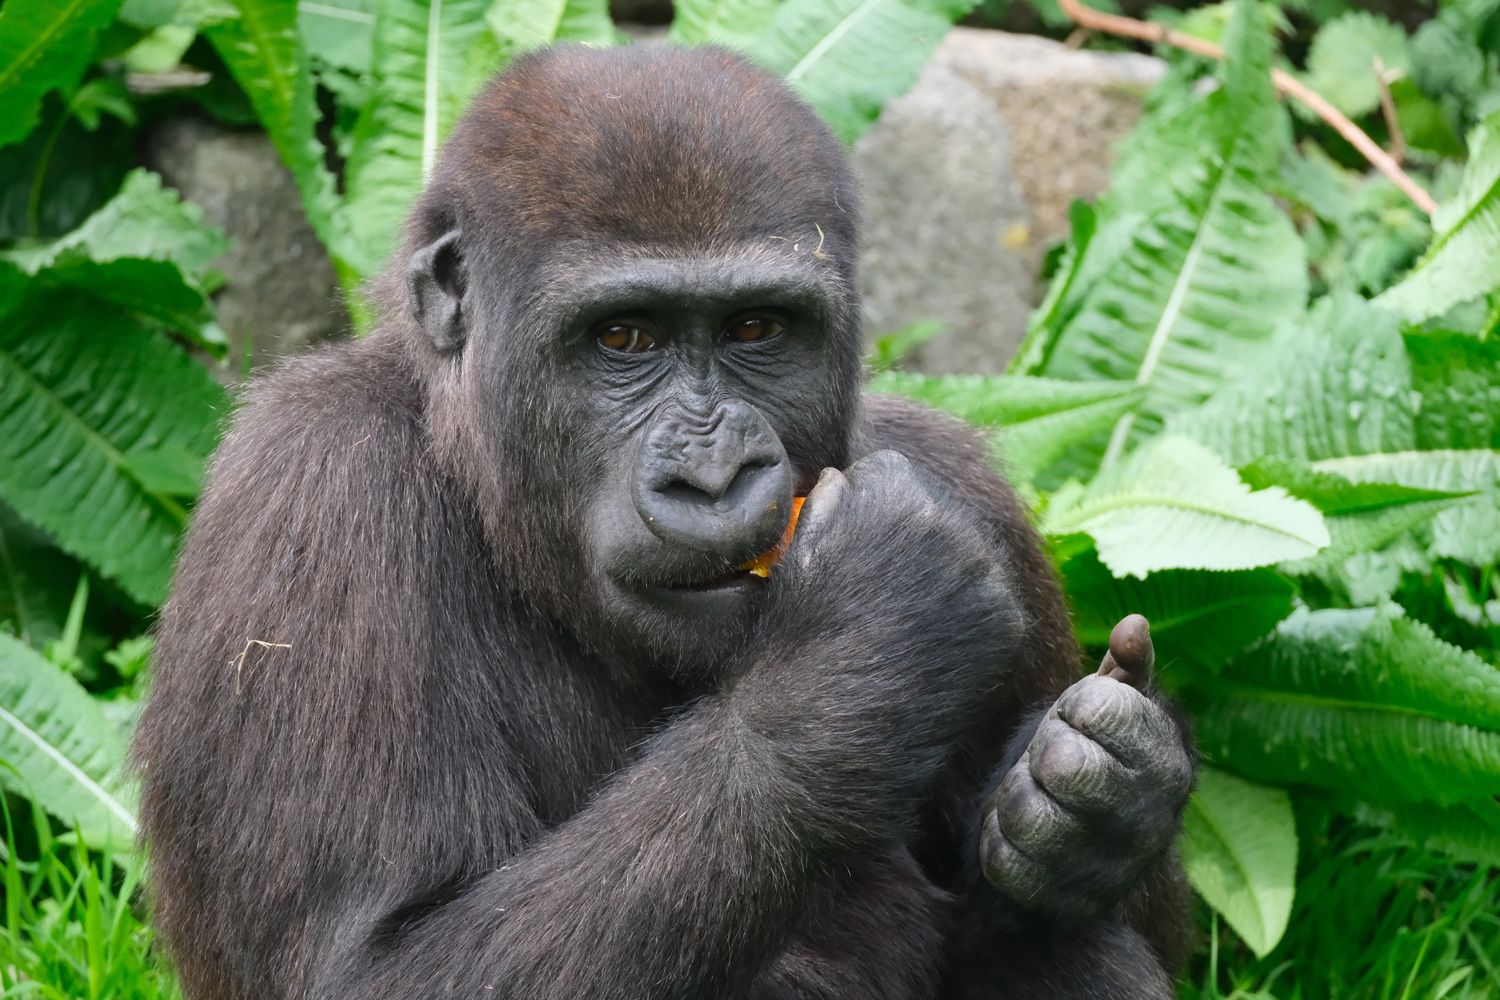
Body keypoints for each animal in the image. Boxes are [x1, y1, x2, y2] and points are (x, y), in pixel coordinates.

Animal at [138, 41, 1194, 1000]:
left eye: (757, 328)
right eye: (623, 337)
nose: (714, 475)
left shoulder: (966, 482)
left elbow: (1122, 919)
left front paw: (1104, 796)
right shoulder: (313, 490)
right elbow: (372, 969)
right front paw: (864, 647)